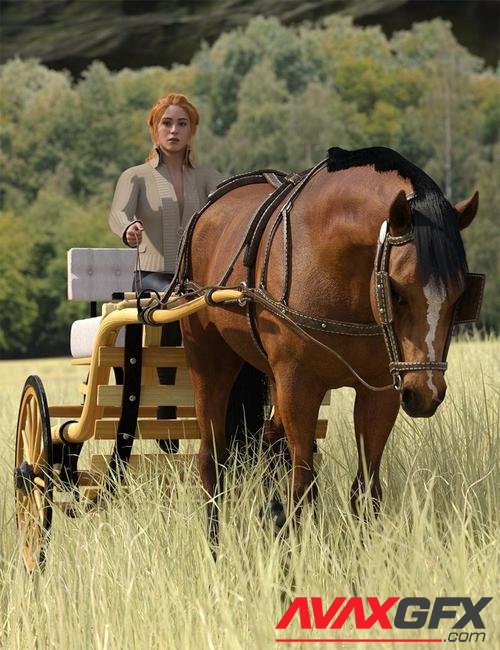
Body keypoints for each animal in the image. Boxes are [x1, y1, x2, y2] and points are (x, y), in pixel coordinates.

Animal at [177, 147, 484, 540]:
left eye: (460, 296)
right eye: (396, 291)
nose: (426, 392)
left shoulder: (381, 390)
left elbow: (365, 491)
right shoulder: (299, 384)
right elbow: (301, 487)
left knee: (268, 443)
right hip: (208, 359)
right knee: (211, 458)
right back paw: (215, 543)